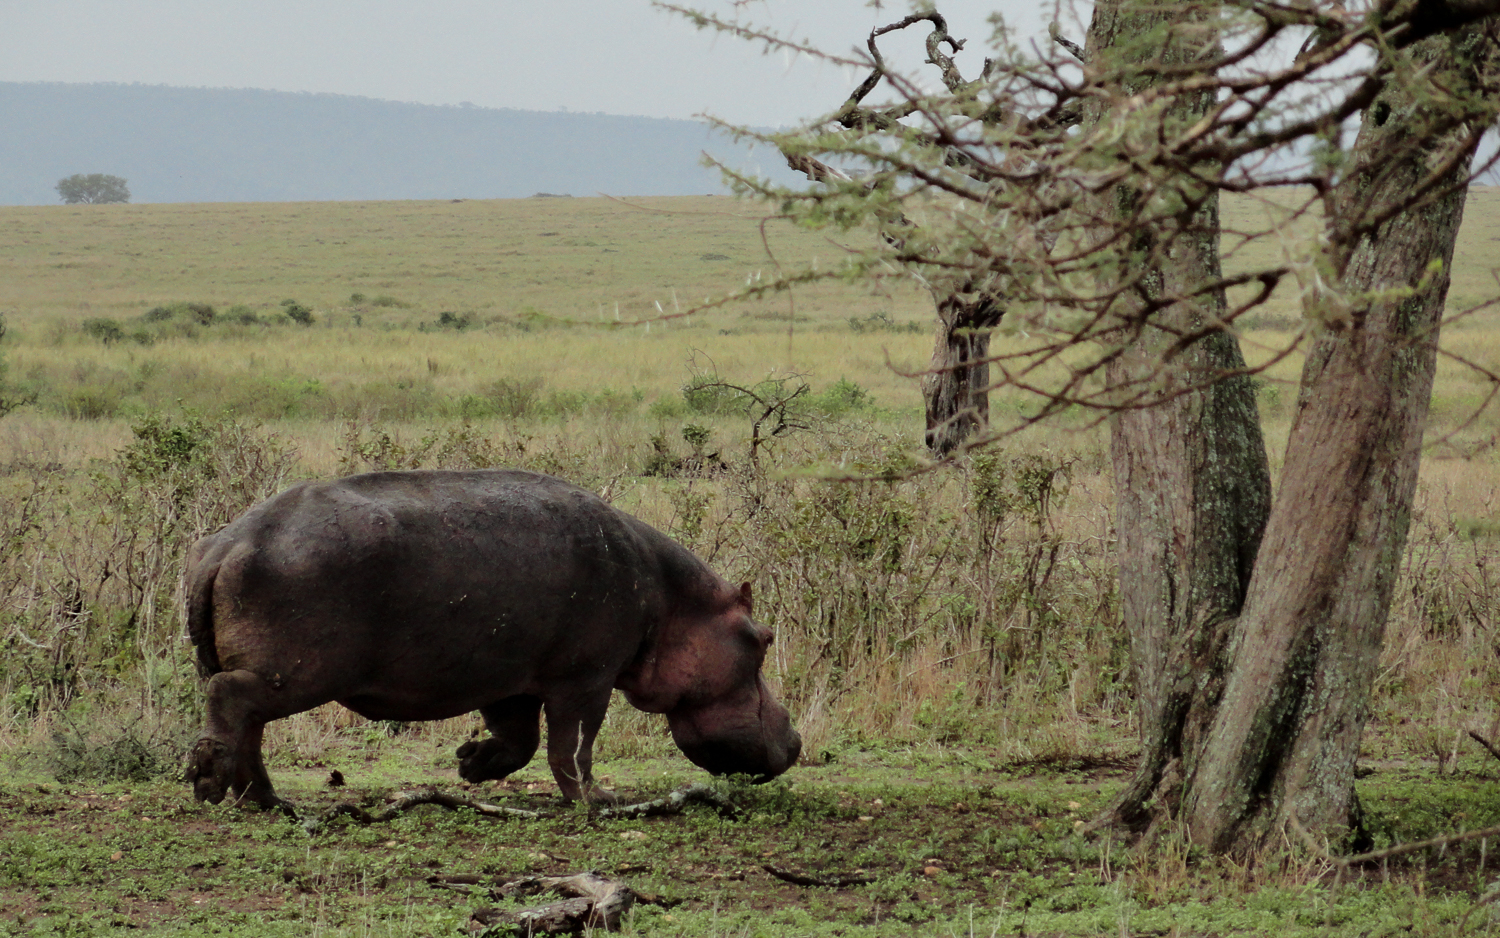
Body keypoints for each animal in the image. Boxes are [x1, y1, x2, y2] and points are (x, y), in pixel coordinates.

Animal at [183, 471, 804, 810]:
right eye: (763, 638)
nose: (796, 741)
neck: (673, 601)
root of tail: (227, 543)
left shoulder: (513, 680)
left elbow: (520, 741)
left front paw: (469, 764)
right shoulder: (587, 678)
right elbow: (573, 745)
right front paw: (595, 801)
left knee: (249, 727)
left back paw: (268, 801)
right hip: (296, 672)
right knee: (230, 699)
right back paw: (209, 782)